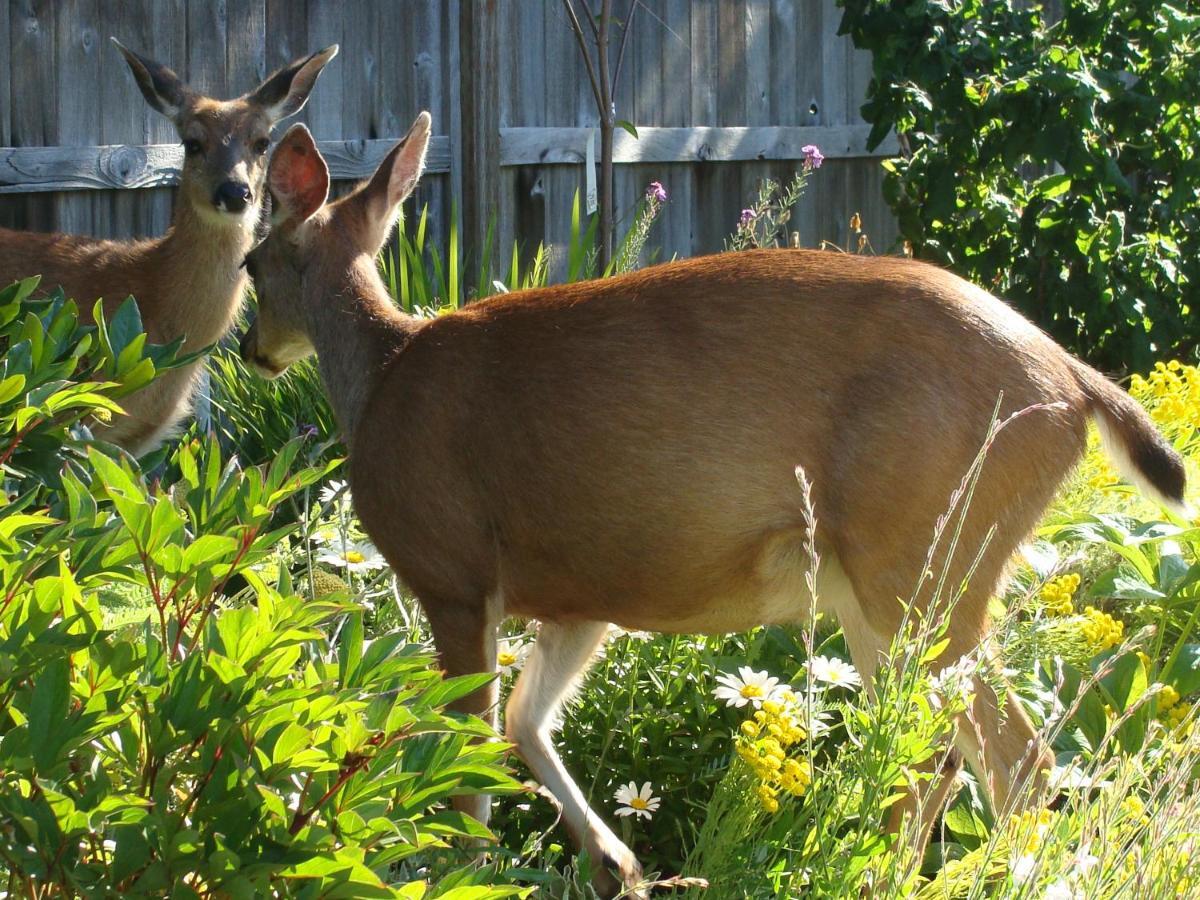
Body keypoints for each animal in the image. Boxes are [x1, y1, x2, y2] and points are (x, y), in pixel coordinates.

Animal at [238, 116, 1185, 897]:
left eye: (251, 263)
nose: (250, 350)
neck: (379, 379)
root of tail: (1075, 383)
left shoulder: (453, 573)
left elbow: (467, 763)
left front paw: (462, 874)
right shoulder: (581, 597)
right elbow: (524, 719)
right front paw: (616, 862)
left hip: (925, 558)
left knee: (1015, 758)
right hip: (892, 588)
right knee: (932, 754)